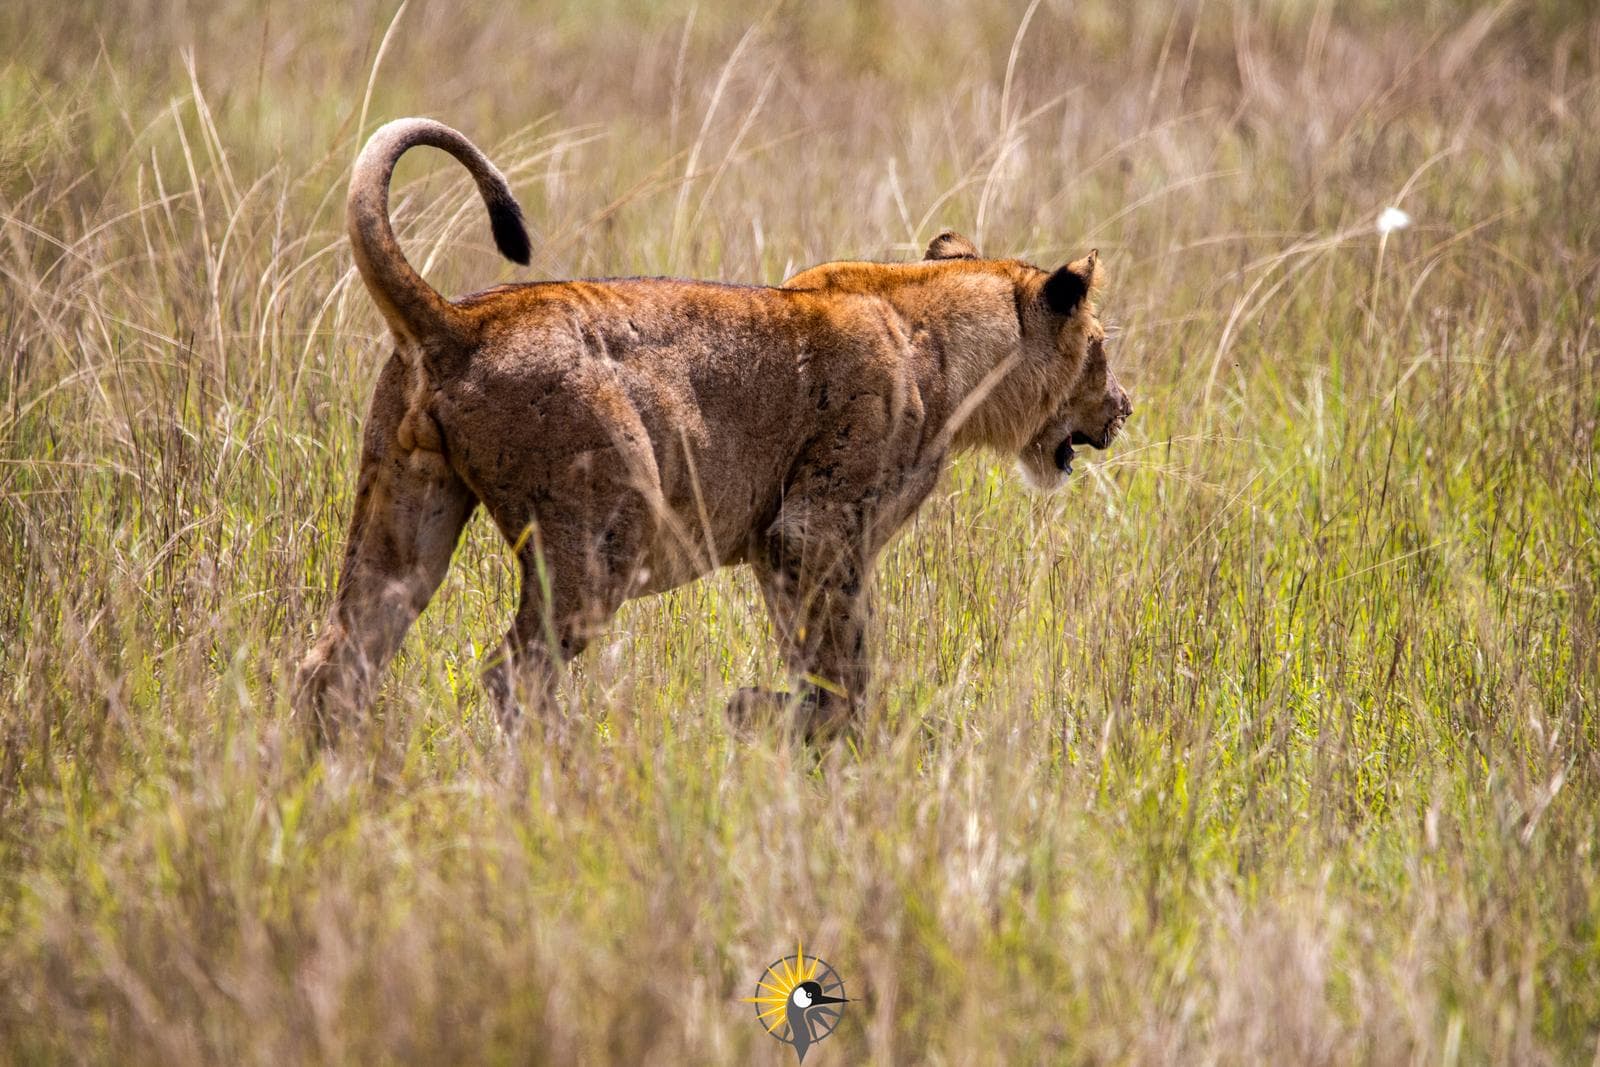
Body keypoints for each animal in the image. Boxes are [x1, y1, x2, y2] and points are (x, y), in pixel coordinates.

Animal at [293, 118, 1132, 742]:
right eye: (1099, 347)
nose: (1125, 407)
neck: (936, 330)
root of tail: (459, 321)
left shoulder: (778, 546)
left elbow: (820, 660)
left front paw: (780, 719)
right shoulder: (814, 528)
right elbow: (847, 669)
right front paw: (791, 726)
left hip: (404, 514)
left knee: (335, 662)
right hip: (601, 539)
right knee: (513, 678)